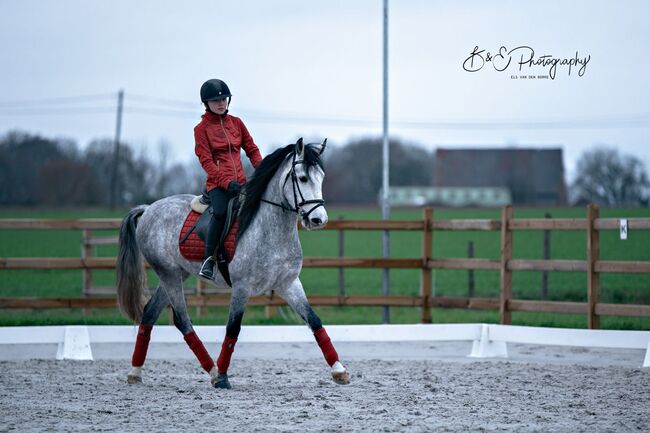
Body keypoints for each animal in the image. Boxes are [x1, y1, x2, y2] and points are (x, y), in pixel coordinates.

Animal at [116, 139, 350, 388]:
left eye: (321, 177)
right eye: (303, 178)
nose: (318, 220)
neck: (271, 231)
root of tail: (149, 208)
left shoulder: (289, 284)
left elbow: (314, 321)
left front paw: (339, 370)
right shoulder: (241, 287)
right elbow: (233, 329)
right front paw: (223, 377)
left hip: (177, 273)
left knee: (150, 313)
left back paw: (136, 372)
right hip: (168, 273)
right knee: (182, 319)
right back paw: (212, 371)